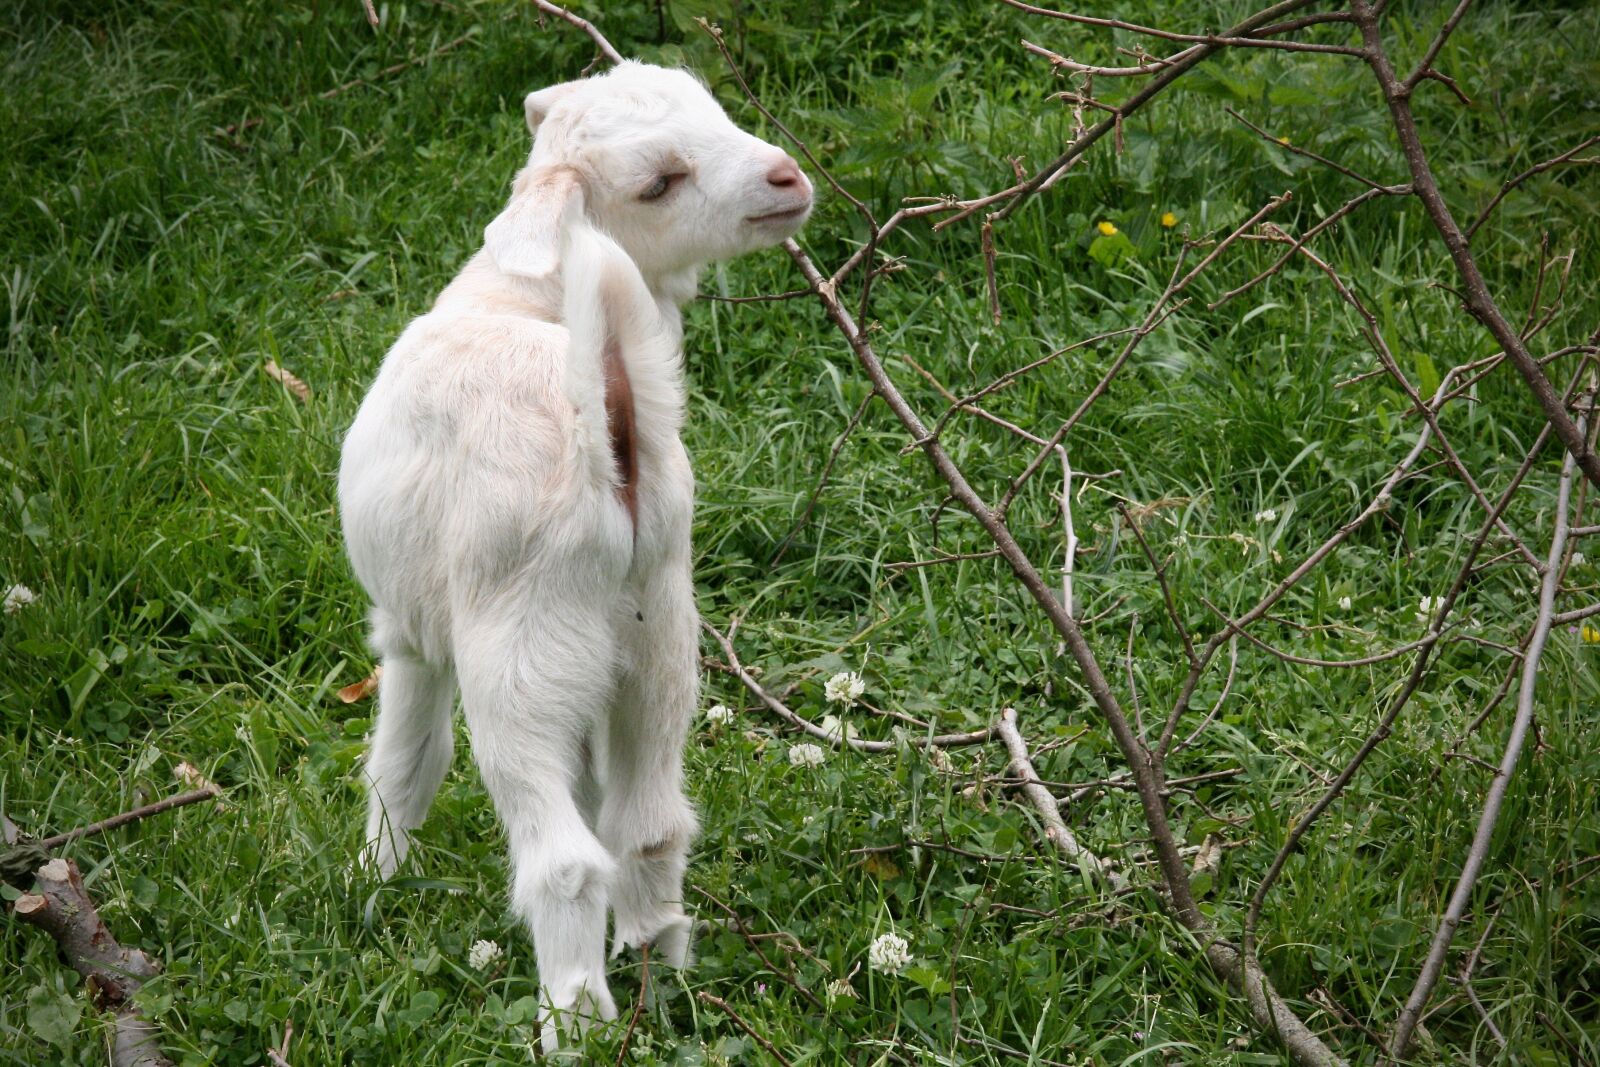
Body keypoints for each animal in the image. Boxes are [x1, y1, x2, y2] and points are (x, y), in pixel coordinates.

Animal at [337, 61, 812, 1049]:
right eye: (659, 181)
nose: (786, 178)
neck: (524, 294)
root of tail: (612, 441)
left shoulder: (411, 633)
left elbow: (405, 760)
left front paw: (372, 879)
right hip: (656, 641)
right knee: (648, 823)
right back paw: (657, 970)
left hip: (518, 655)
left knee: (563, 860)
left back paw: (575, 1021)